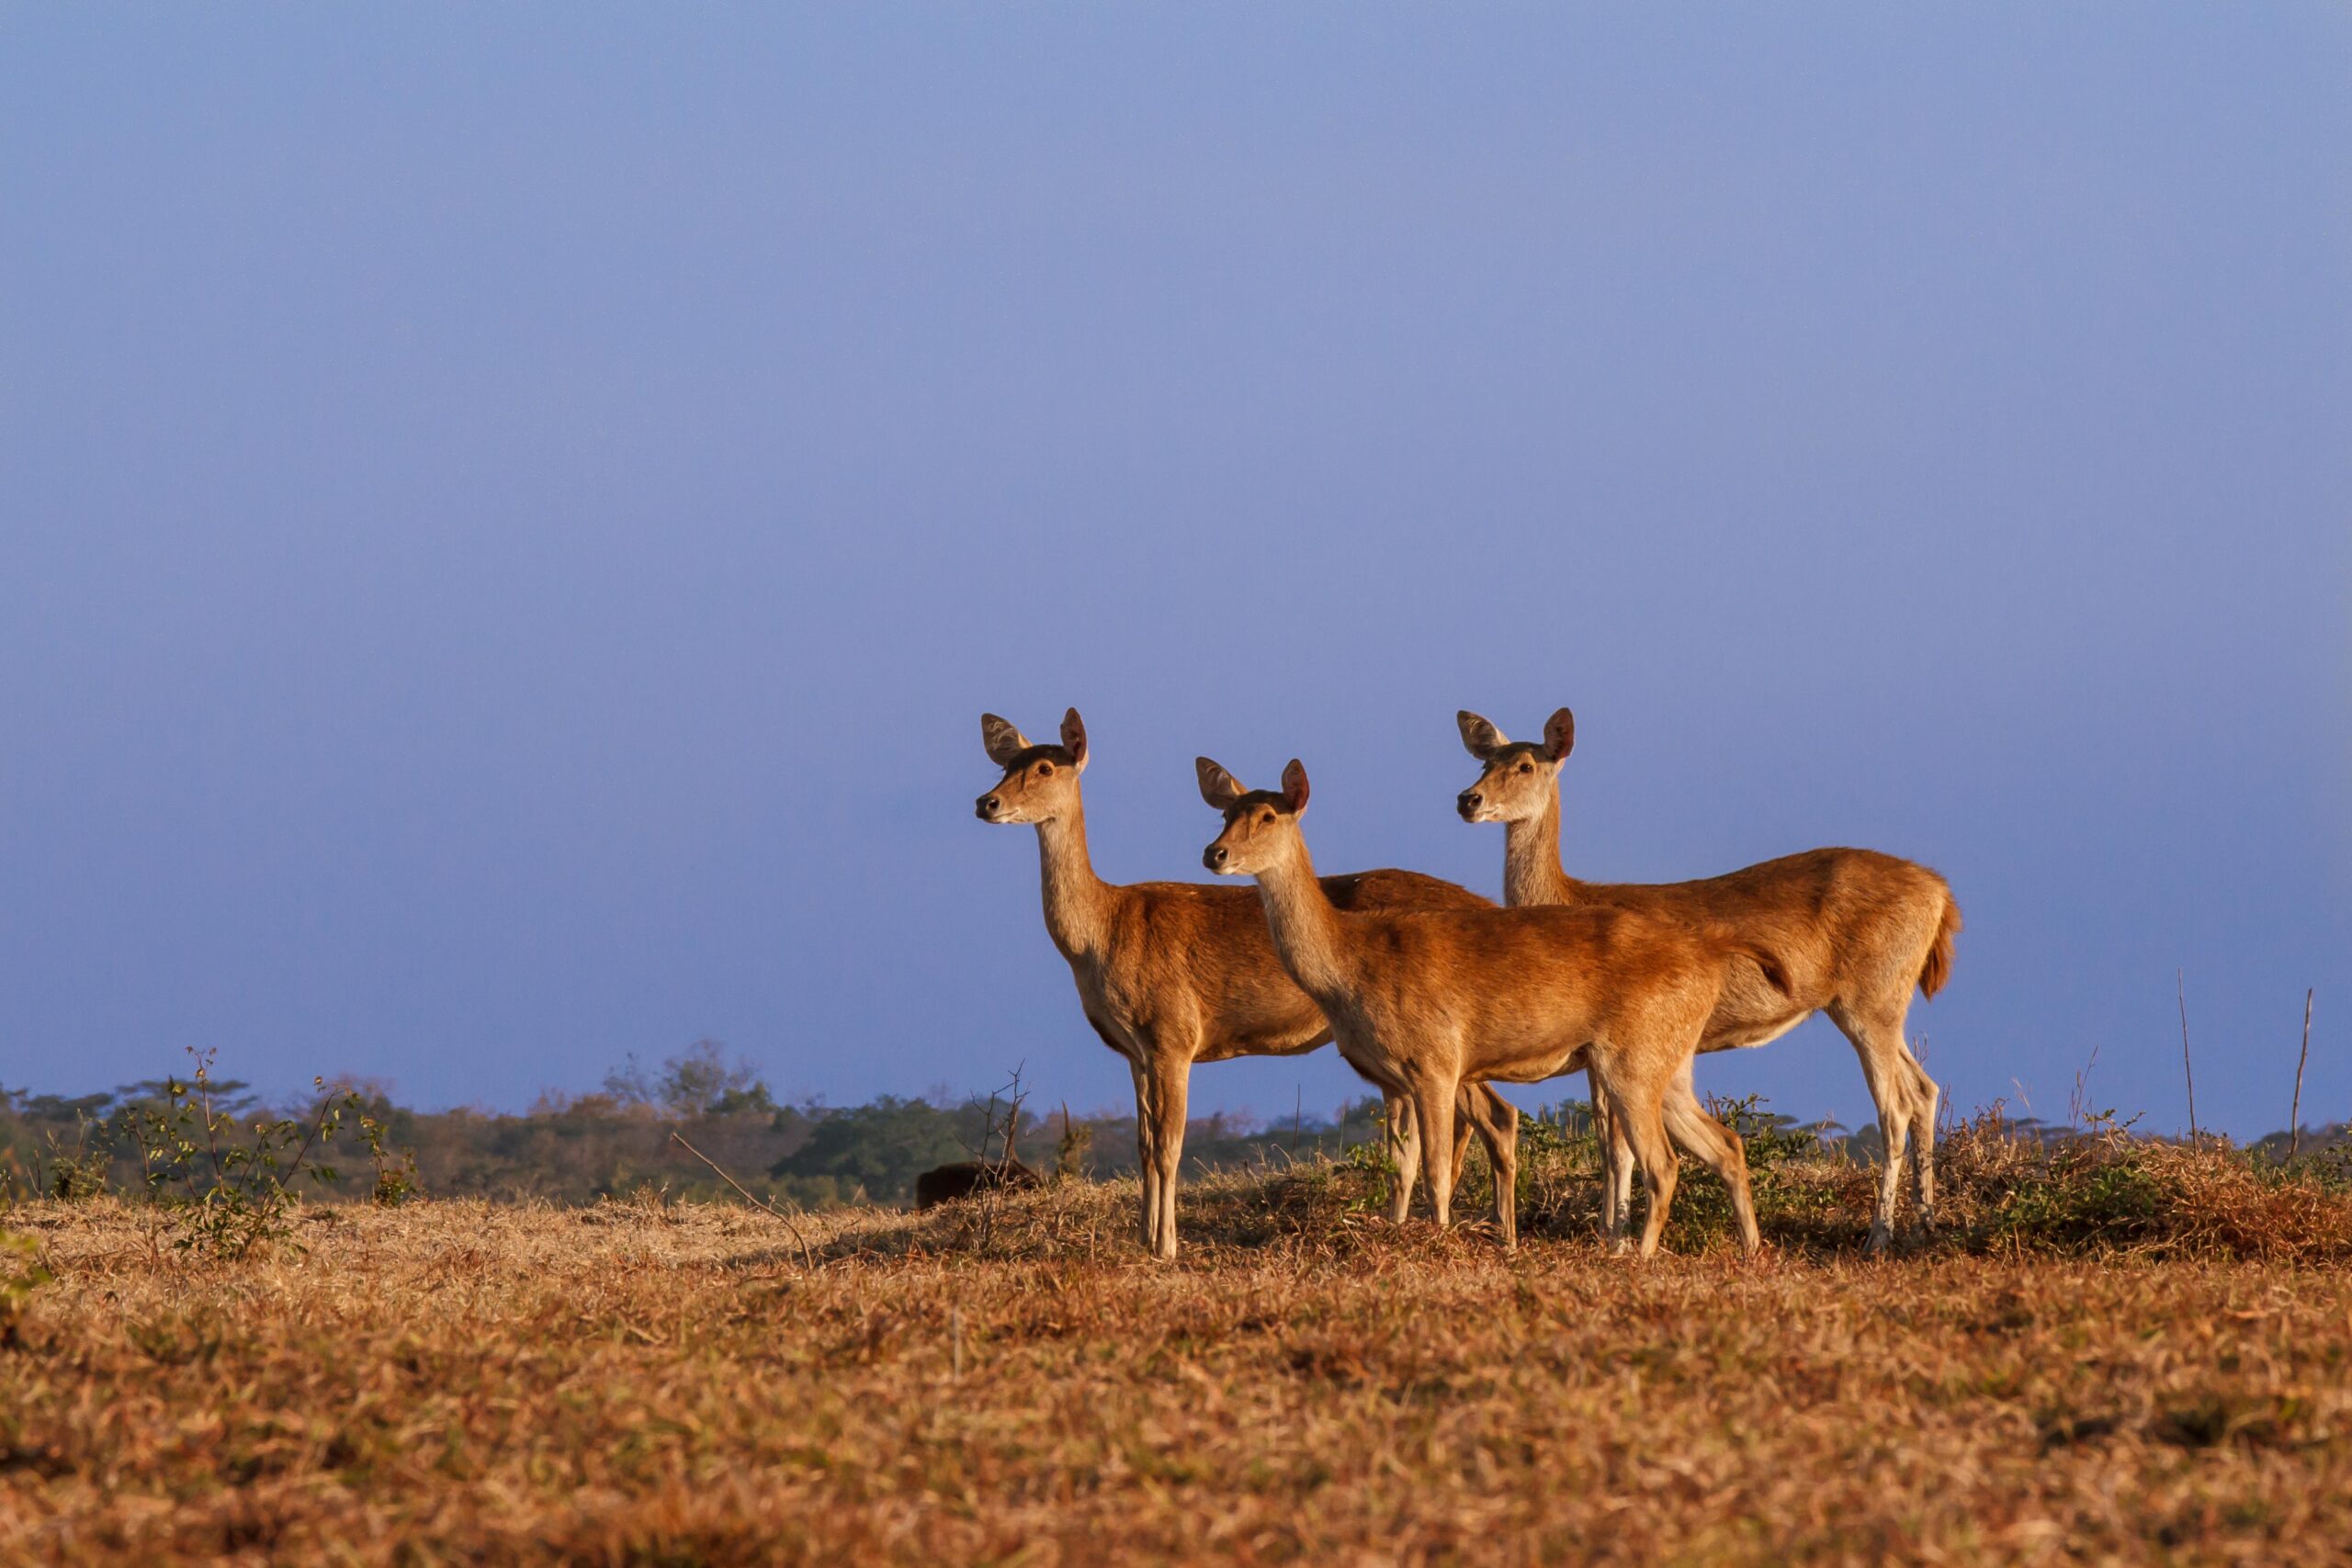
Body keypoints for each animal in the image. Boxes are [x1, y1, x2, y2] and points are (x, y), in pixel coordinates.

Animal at [978, 709, 1514, 1259]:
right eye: (1005, 764)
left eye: (1044, 767)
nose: (986, 802)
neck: (1100, 935)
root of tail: (1487, 905)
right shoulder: (1134, 1049)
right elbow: (1144, 1146)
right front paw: (1144, 1241)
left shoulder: (1174, 1033)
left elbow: (1169, 1146)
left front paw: (1167, 1247)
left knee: (1488, 1117)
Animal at [1204, 751, 1787, 1259]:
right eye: (1226, 813)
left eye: (1268, 815)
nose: (1214, 853)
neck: (1350, 965)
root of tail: (1709, 953)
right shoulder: (1395, 1076)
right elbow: (1404, 1166)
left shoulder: (1436, 1061)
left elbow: (1437, 1170)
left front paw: (1439, 1245)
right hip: (1671, 1060)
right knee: (1726, 1144)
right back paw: (1750, 1252)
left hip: (1633, 1060)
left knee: (1663, 1163)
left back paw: (1637, 1257)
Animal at [1458, 709, 1956, 1250]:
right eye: (1485, 761)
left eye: (1526, 765)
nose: (1469, 799)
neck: (1569, 899)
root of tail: (1941, 893)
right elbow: (1610, 1145)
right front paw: (1612, 1237)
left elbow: (1618, 1148)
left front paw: (1616, 1242)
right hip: (1880, 1002)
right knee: (1925, 1089)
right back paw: (1924, 1224)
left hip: (1871, 996)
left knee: (1895, 1107)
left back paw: (1878, 1237)